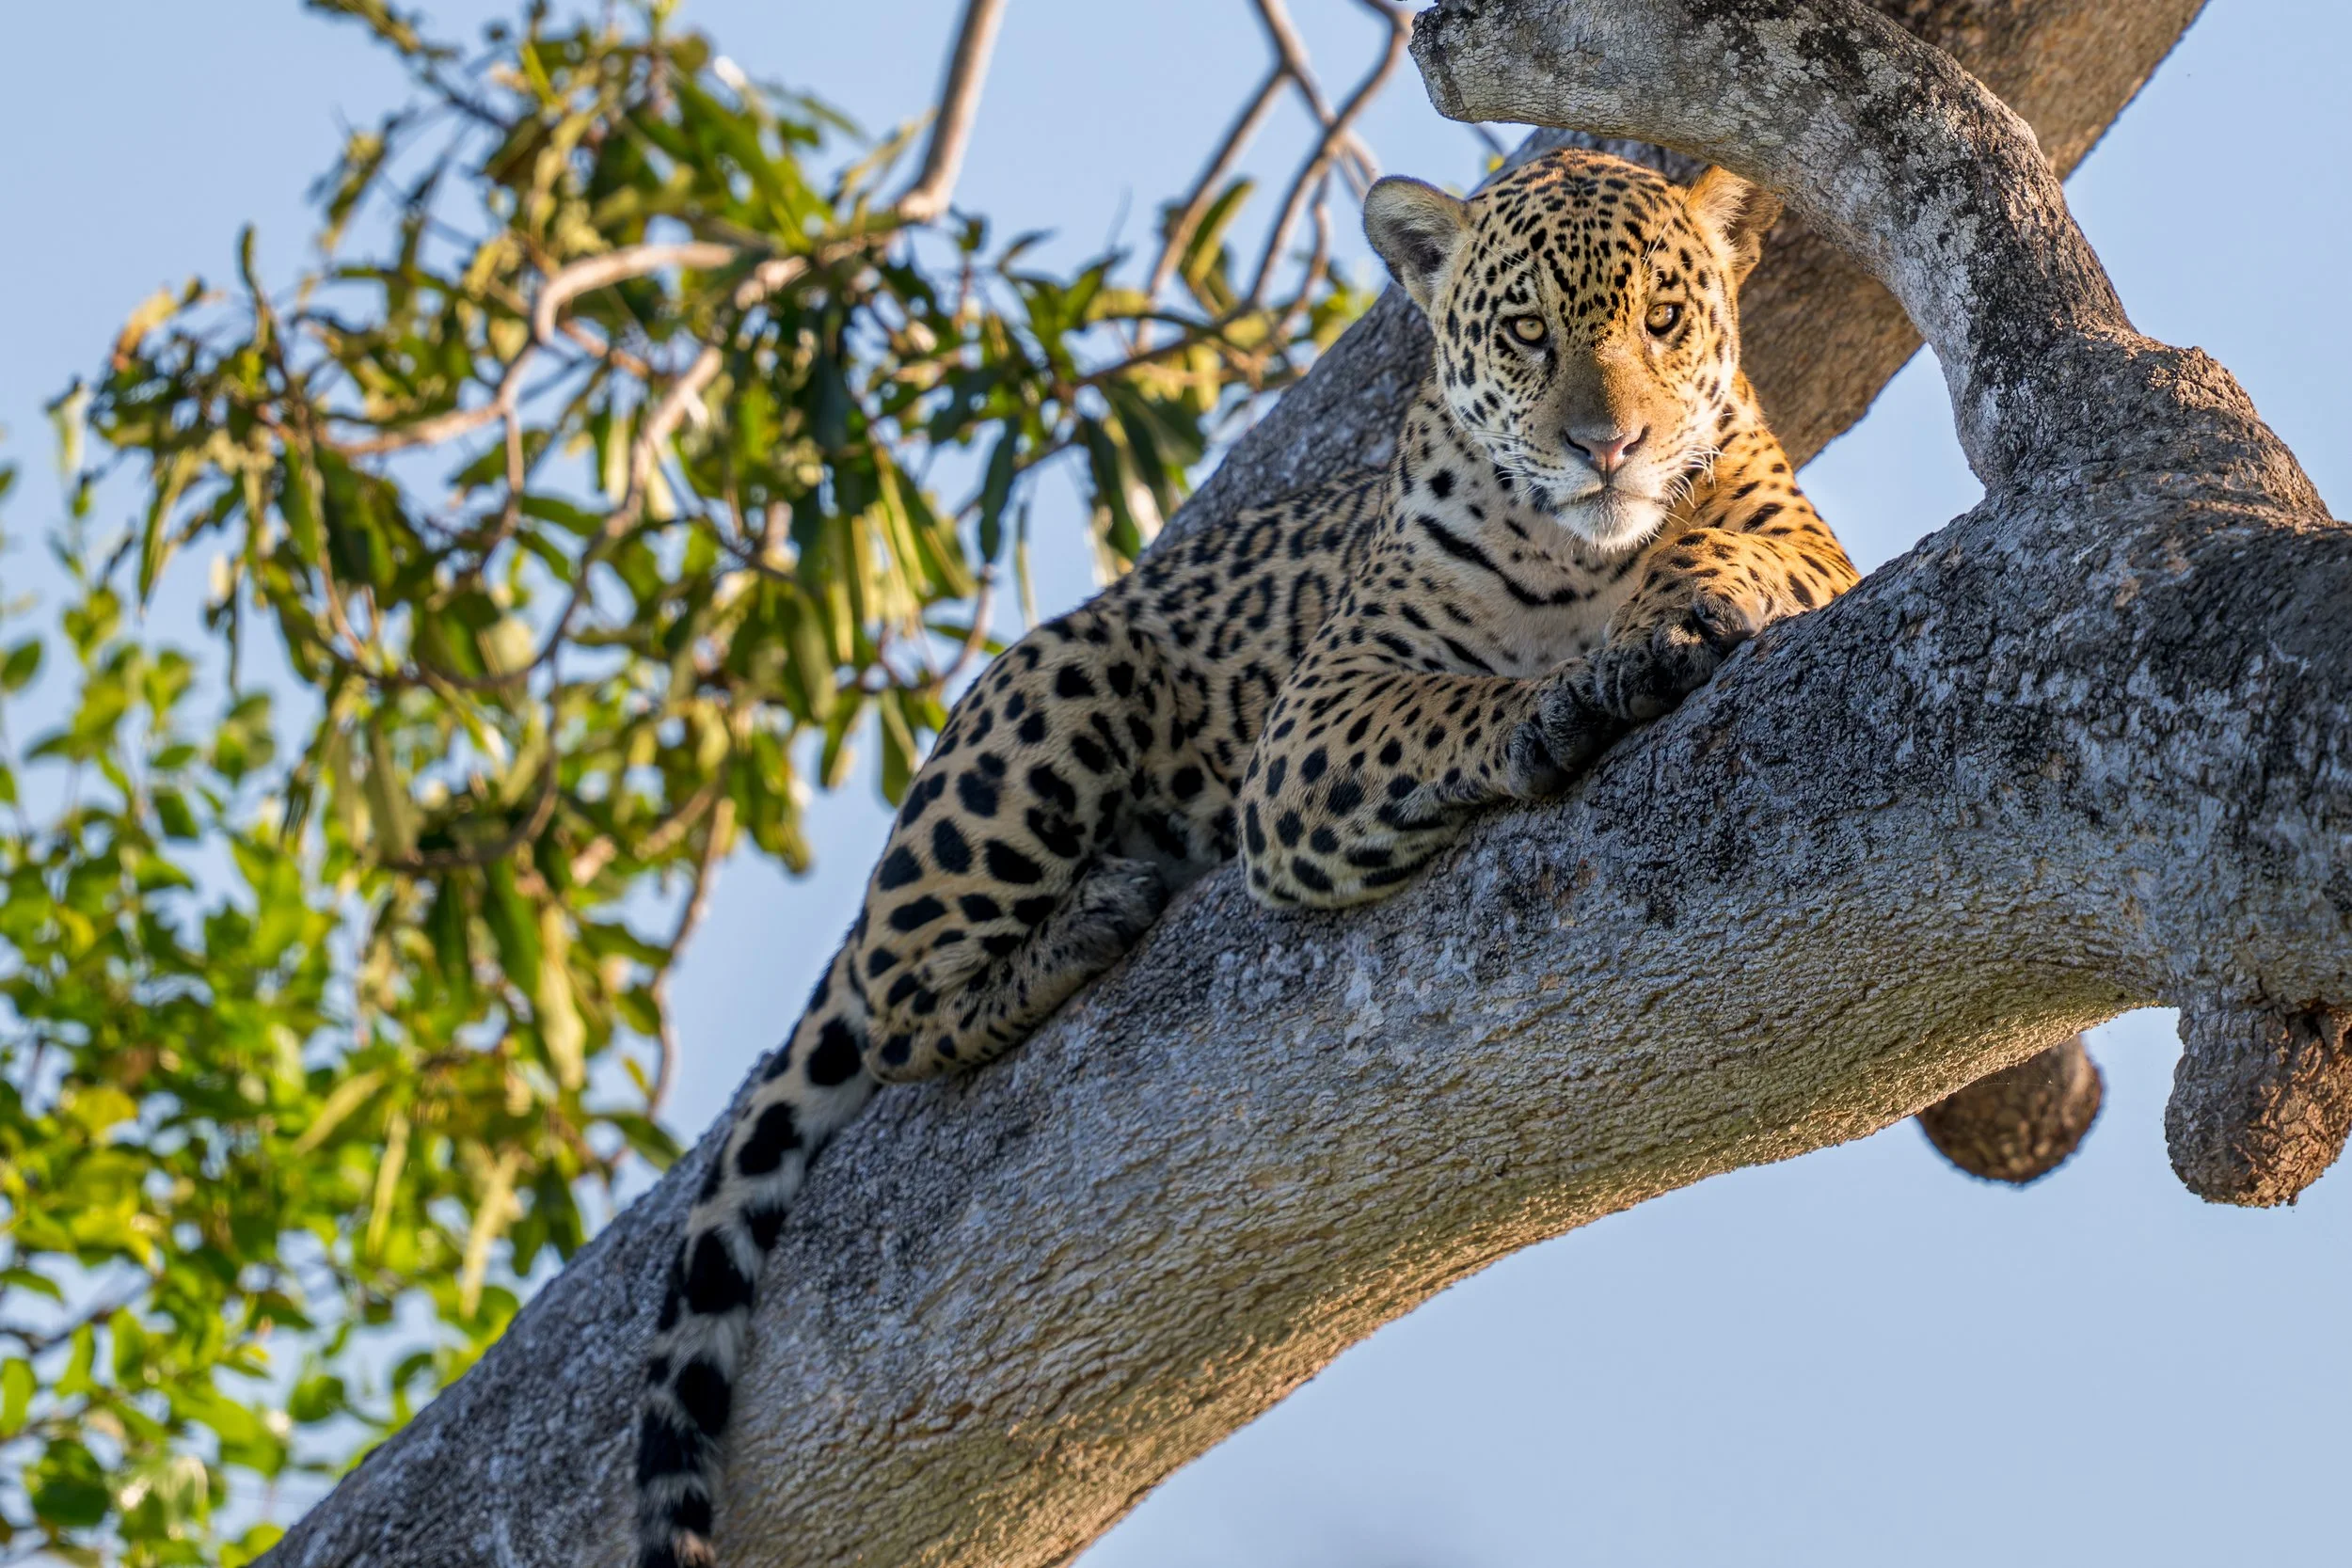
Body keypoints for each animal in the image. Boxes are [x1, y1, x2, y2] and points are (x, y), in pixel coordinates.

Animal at [633, 147, 1858, 1568]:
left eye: (1665, 320)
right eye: (1526, 333)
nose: (1608, 445)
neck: (1580, 560)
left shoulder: (1816, 549)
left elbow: (1740, 546)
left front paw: (1679, 595)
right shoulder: (1314, 718)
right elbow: (1445, 703)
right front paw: (1551, 703)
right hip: (1059, 682)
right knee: (894, 1005)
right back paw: (1087, 916)